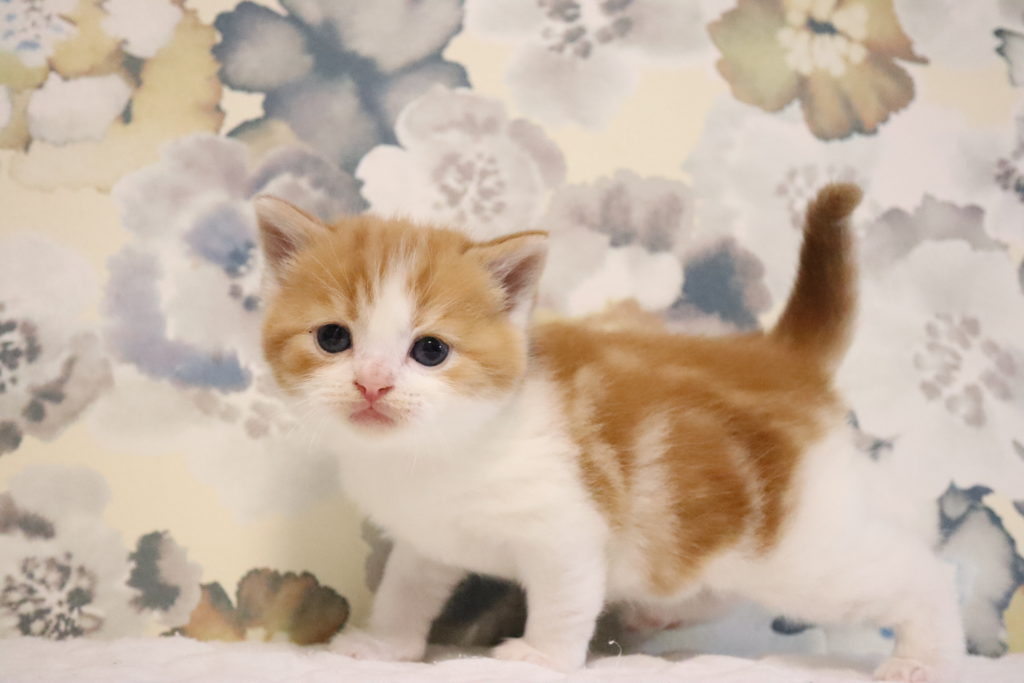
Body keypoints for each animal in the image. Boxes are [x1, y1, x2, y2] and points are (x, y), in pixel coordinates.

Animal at [255, 183, 964, 682]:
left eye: (430, 350)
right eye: (333, 338)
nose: (372, 384)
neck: (434, 452)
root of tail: (779, 356)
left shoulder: (568, 526)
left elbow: (564, 598)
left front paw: (541, 657)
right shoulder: (429, 538)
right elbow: (407, 587)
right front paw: (384, 643)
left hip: (804, 549)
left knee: (919, 571)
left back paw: (925, 657)